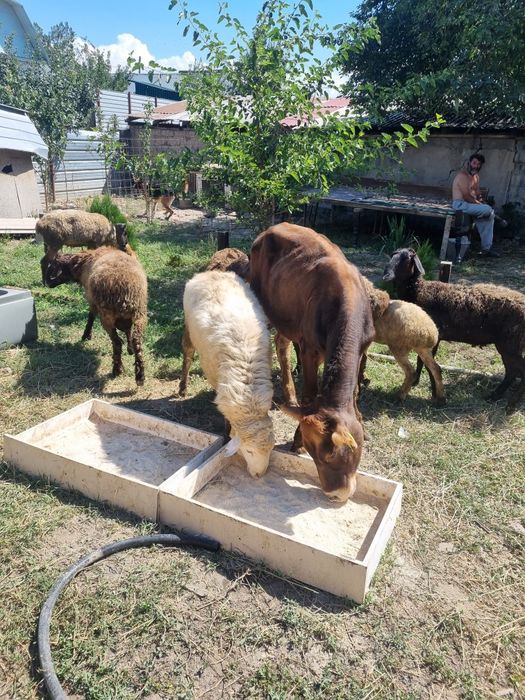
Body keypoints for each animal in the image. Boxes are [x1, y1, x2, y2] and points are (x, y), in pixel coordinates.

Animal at [250, 223, 375, 502]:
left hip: (287, 317)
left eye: (330, 455)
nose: (335, 493)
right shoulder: (309, 349)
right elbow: (309, 394)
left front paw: (360, 418)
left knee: (282, 343)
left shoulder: (364, 346)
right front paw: (296, 438)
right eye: (313, 452)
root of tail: (272, 228)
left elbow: (356, 391)